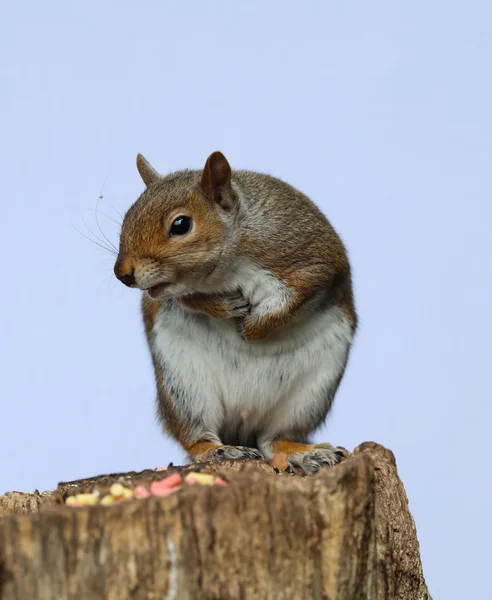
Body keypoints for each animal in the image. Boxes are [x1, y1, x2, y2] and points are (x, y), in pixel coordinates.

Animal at [113, 149, 356, 474]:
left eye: (180, 225)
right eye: (128, 215)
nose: (122, 273)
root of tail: (244, 421)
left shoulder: (312, 262)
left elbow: (298, 298)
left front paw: (252, 329)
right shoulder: (175, 293)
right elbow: (191, 300)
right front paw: (225, 308)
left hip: (311, 392)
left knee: (275, 439)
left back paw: (304, 453)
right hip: (184, 387)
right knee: (197, 436)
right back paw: (220, 450)